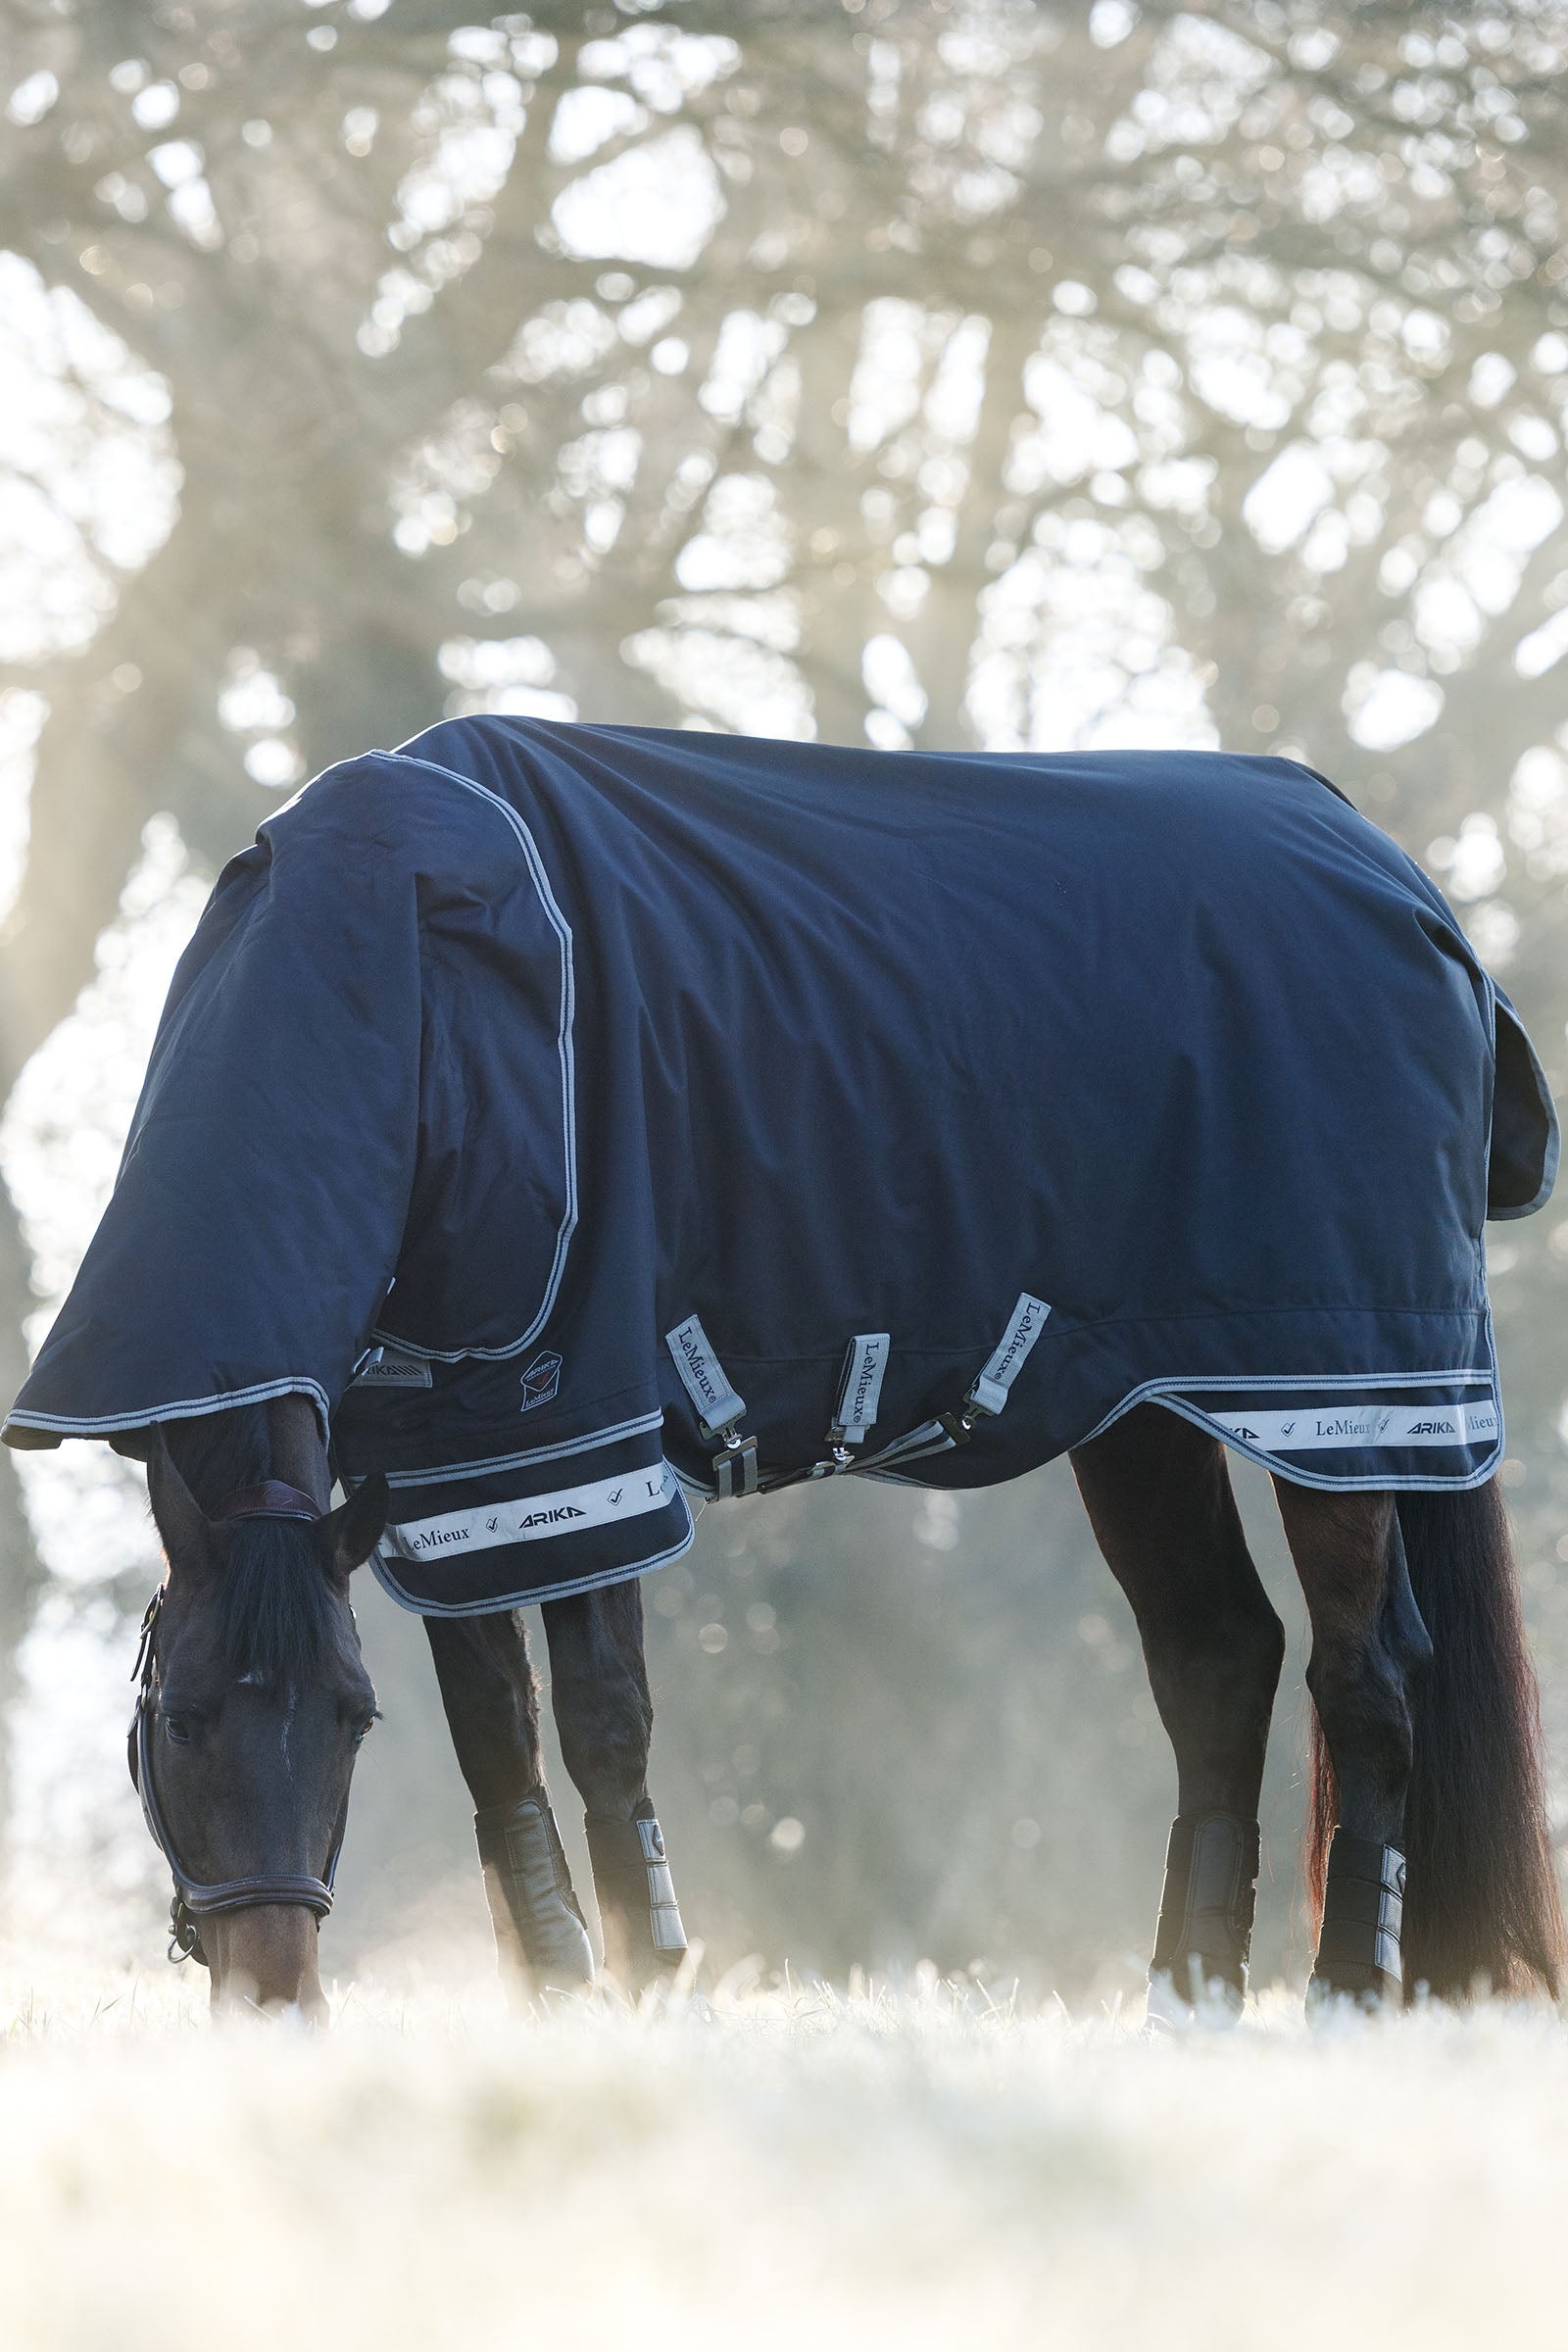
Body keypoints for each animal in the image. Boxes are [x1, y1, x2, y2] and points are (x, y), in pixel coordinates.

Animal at [8, 721, 1563, 2015]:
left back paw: (1348, 1996)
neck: (420, 991)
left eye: (343, 1720)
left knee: (1369, 1677)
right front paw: (557, 1995)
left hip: (1342, 1402)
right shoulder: (450, 1464)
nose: (275, 1999)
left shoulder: (585, 1428)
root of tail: (1401, 882)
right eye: (183, 1717)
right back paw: (1189, 2001)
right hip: (1150, 1408)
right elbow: (496, 1735)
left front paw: (647, 1987)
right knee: (1217, 1663)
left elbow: (603, 1724)